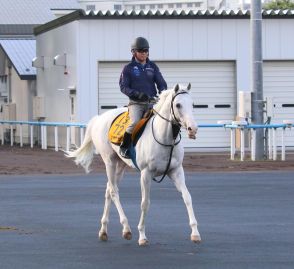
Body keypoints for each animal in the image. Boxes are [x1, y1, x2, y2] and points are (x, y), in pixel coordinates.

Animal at [66, 84, 201, 245]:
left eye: (193, 104)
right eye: (178, 105)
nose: (193, 128)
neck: (164, 138)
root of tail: (99, 118)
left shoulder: (176, 171)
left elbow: (187, 197)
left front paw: (195, 233)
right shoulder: (145, 174)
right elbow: (145, 203)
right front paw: (142, 236)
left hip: (120, 165)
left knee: (108, 190)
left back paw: (103, 231)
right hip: (109, 162)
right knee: (114, 192)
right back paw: (126, 229)